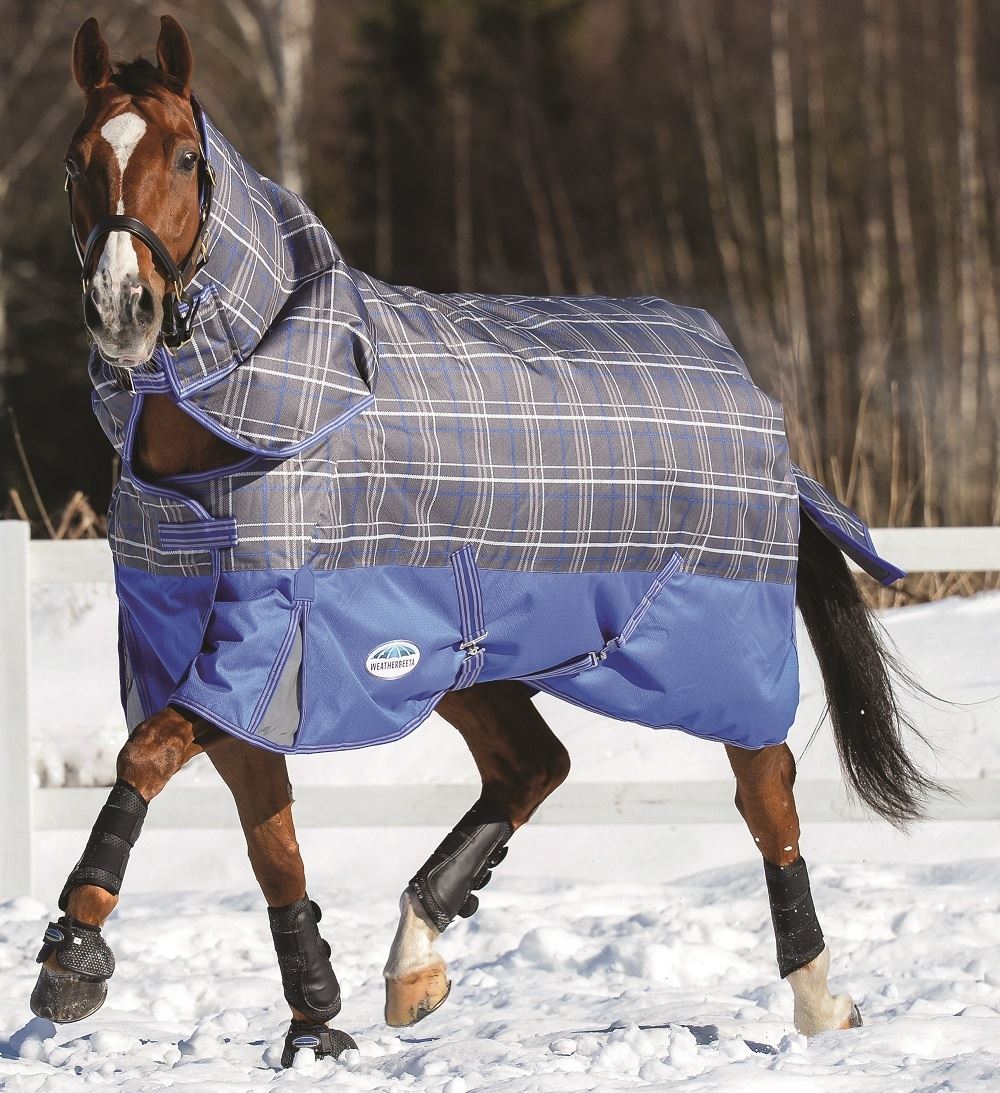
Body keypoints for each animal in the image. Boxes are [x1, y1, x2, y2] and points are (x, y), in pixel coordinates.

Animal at [31, 14, 938, 1068]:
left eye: (183, 155)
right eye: (76, 159)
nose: (121, 308)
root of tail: (748, 385)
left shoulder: (258, 648)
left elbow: (142, 760)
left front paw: (72, 958)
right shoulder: (233, 671)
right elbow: (271, 845)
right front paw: (316, 1021)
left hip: (716, 661)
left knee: (769, 799)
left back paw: (819, 999)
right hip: (469, 657)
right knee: (534, 765)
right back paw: (414, 958)